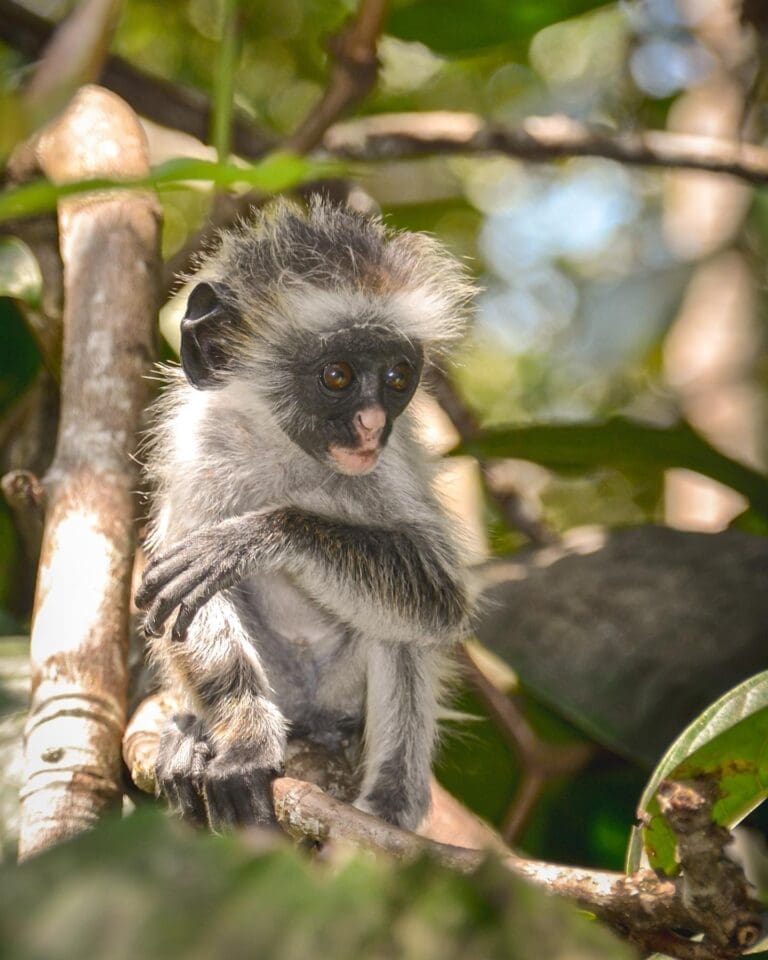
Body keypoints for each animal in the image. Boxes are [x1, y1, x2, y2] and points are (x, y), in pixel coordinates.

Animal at [135, 197, 476, 832]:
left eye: (397, 377)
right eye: (337, 376)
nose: (372, 425)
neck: (287, 453)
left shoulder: (389, 468)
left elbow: (441, 602)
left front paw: (254, 537)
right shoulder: (201, 445)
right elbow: (177, 599)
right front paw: (244, 738)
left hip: (342, 688)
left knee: (399, 635)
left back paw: (386, 807)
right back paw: (197, 732)